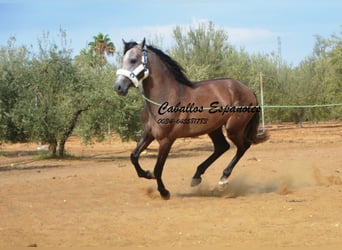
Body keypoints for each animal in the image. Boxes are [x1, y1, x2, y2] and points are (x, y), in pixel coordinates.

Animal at [113, 39, 268, 199]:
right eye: (122, 59)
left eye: (133, 60)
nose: (118, 87)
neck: (166, 97)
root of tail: (249, 90)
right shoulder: (149, 133)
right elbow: (134, 156)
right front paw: (147, 174)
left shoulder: (166, 140)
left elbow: (158, 168)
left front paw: (164, 192)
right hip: (214, 128)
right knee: (222, 147)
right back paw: (197, 177)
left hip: (233, 128)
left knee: (243, 146)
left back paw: (223, 179)